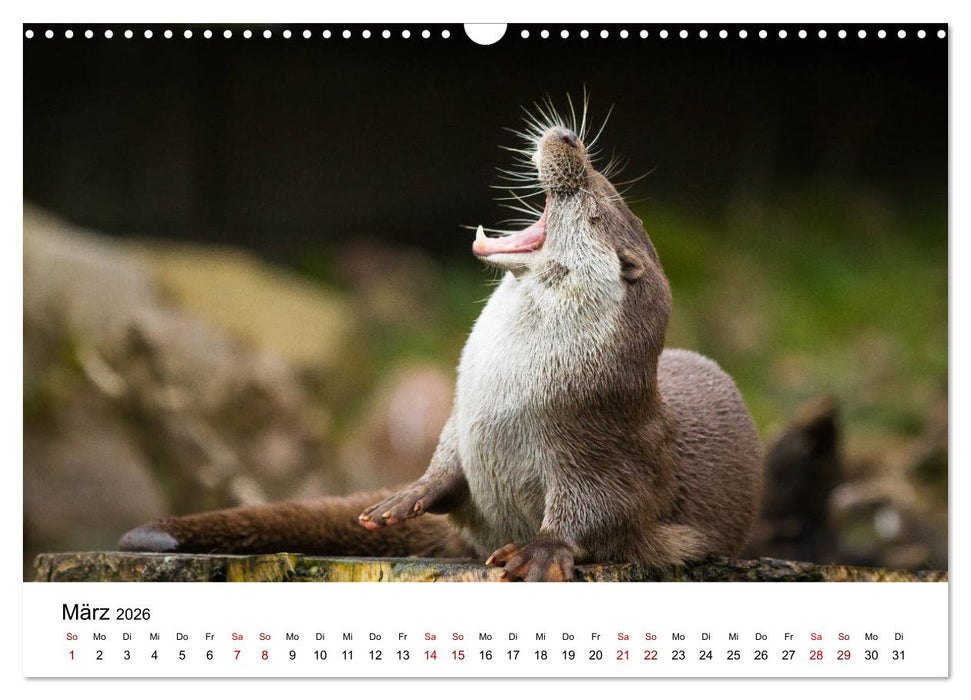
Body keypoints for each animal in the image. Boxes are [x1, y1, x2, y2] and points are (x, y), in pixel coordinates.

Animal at [119, 105, 763, 581]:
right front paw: (405, 496)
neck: (513, 391)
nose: (567, 136)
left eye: (593, 203)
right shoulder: (462, 417)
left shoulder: (607, 445)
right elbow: (445, 460)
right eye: (602, 181)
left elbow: (603, 510)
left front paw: (539, 551)